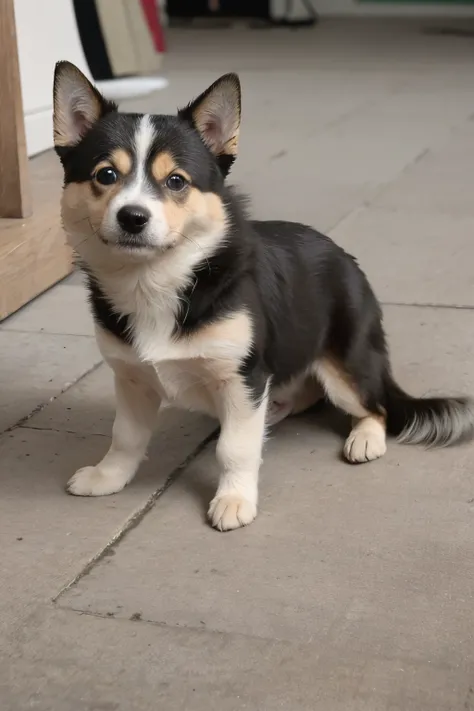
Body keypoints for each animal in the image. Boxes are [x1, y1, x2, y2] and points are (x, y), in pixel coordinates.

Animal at [53, 64, 474, 532]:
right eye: (105, 175)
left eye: (176, 181)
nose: (133, 217)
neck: (157, 280)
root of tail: (347, 259)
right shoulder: (132, 378)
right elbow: (125, 436)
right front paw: (108, 476)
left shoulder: (242, 376)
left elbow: (234, 448)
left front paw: (234, 498)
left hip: (344, 363)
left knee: (374, 405)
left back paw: (364, 437)